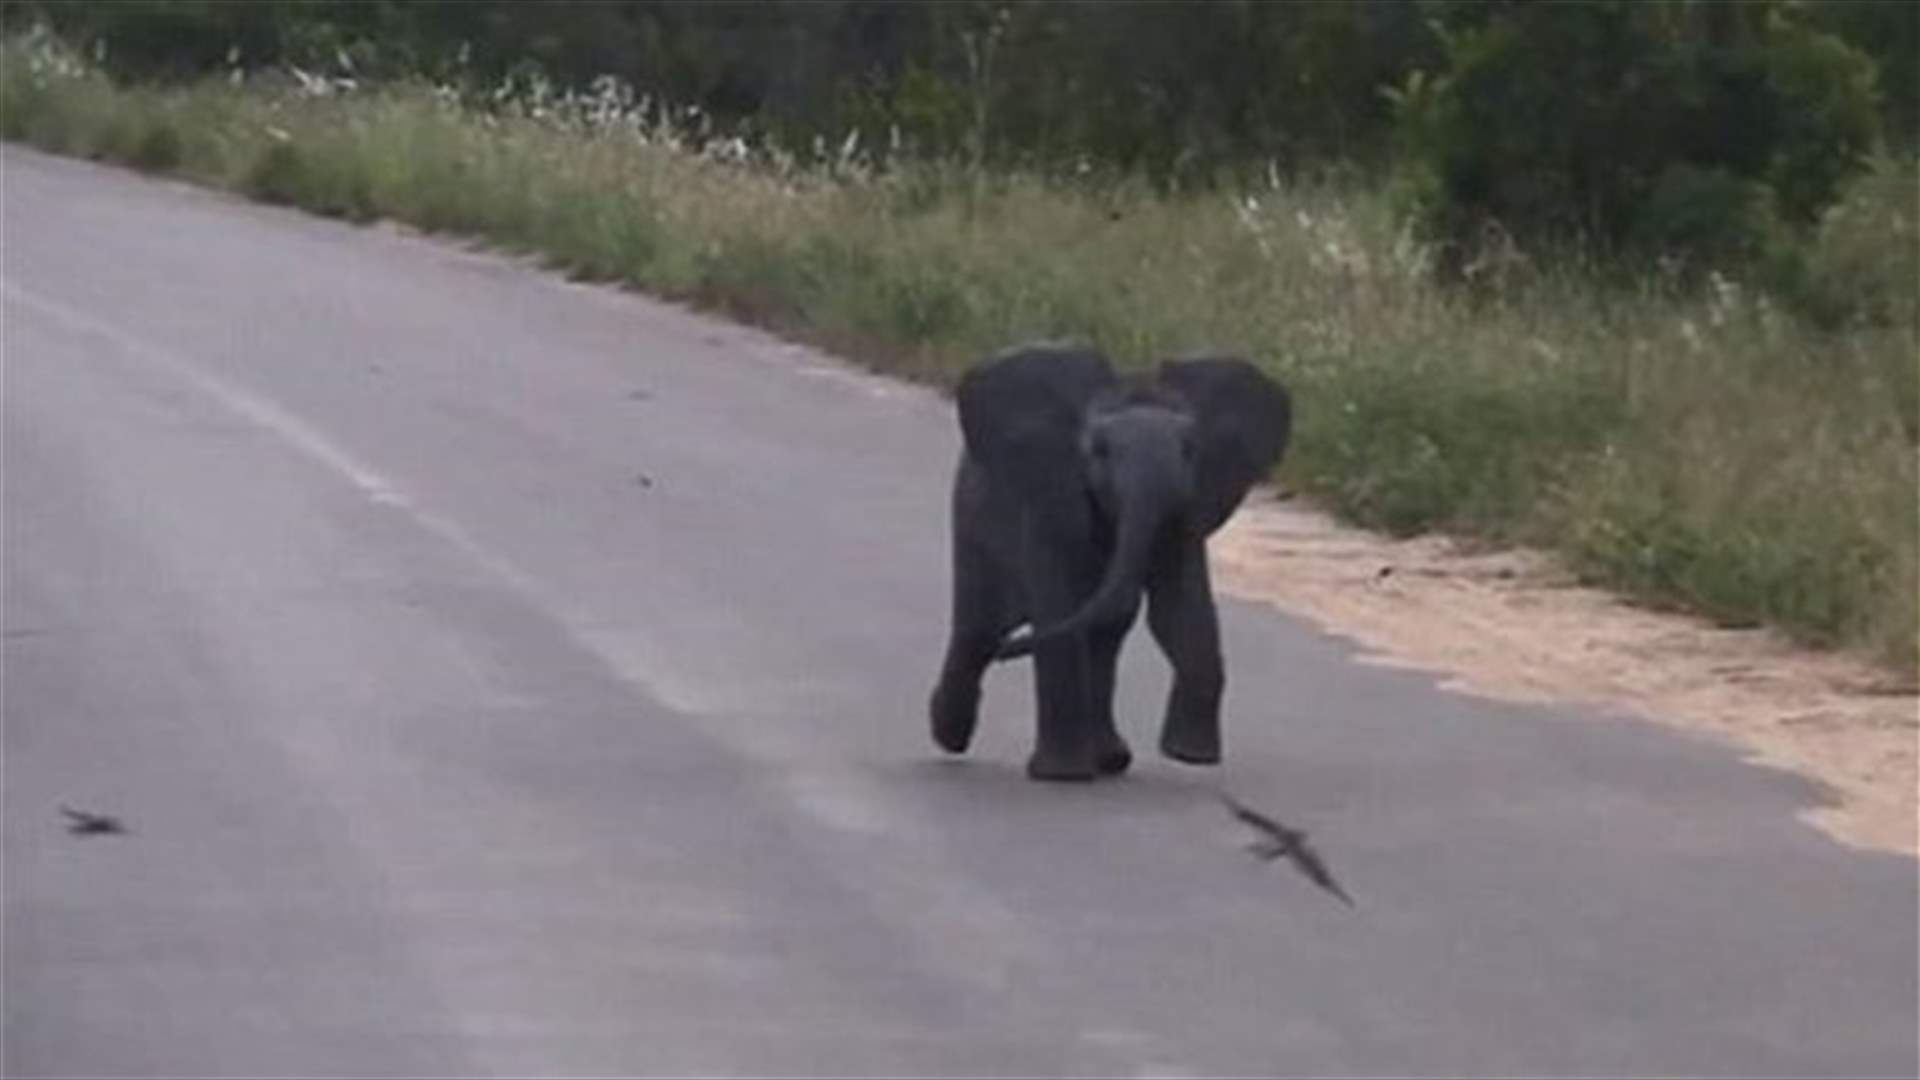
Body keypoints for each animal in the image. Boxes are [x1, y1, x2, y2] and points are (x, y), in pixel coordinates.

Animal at [929, 342, 1292, 781]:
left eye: (1190, 450)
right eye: (1099, 452)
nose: (1010, 652)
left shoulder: (1186, 510)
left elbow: (1183, 612)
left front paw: (1190, 757)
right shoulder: (1052, 505)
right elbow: (1060, 612)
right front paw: (1063, 777)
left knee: (1105, 634)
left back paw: (1111, 760)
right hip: (971, 522)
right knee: (979, 629)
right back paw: (950, 737)